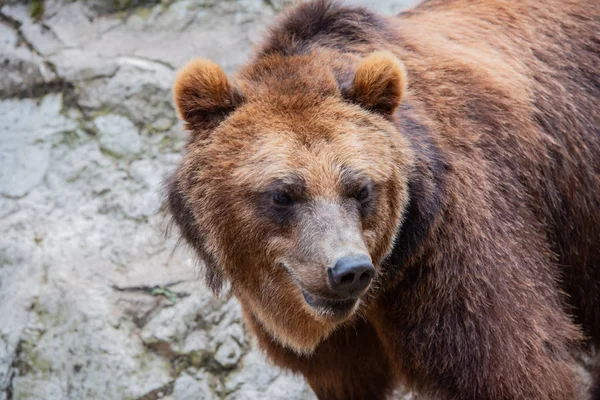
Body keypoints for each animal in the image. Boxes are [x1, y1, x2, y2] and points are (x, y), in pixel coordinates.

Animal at [165, 0, 600, 398]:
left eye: (361, 187)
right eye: (282, 193)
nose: (349, 269)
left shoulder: (460, 247)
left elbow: (511, 363)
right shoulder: (340, 349)